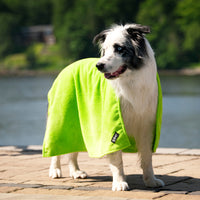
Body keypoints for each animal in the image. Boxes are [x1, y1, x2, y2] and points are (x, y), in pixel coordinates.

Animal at [48, 23, 164, 191]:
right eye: (105, 50)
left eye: (119, 48)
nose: (99, 65)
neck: (131, 81)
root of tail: (67, 67)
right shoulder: (113, 125)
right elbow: (117, 160)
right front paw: (120, 182)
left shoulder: (147, 126)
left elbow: (147, 157)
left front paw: (150, 181)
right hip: (60, 118)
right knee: (56, 147)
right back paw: (55, 170)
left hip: (77, 127)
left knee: (72, 152)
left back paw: (76, 172)